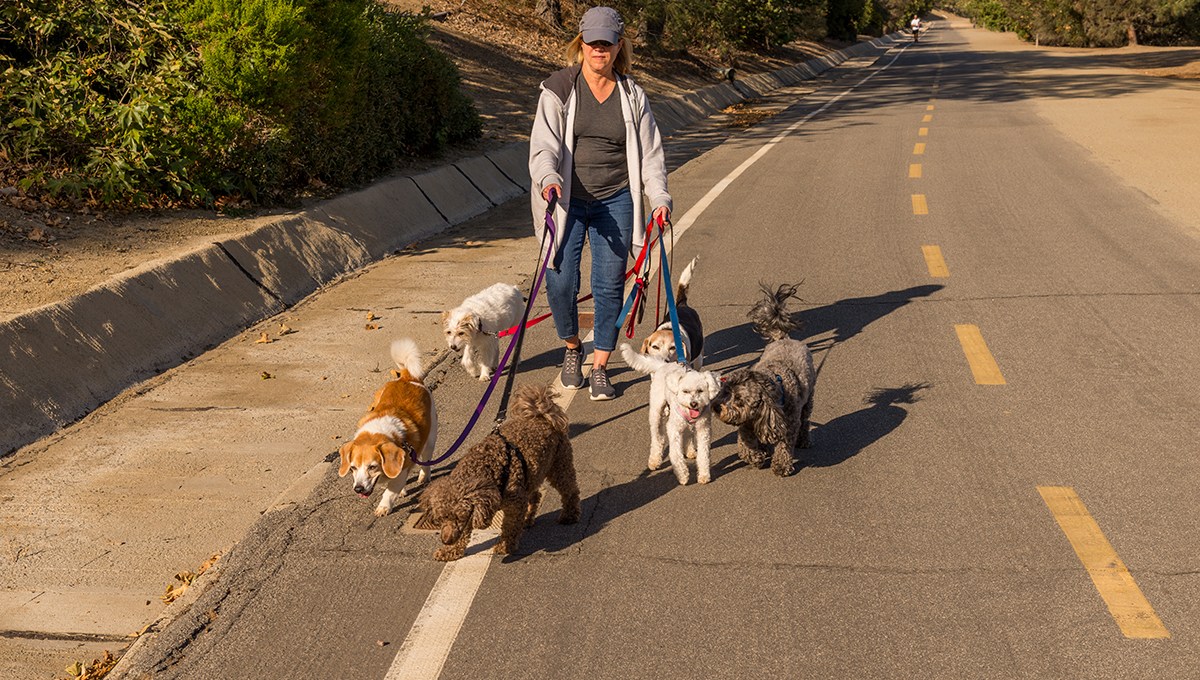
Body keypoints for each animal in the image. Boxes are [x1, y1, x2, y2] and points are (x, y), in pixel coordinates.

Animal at [340, 340, 439, 515]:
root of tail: (406, 376)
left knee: (426, 460)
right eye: (352, 468)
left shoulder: (402, 469)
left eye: (372, 467)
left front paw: (384, 506)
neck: (377, 432)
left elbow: (390, 490)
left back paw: (424, 477)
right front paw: (401, 492)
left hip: (430, 438)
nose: (358, 489)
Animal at [415, 386, 578, 561]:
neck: (488, 466)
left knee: (570, 491)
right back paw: (528, 518)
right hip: (532, 475)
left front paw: (505, 545)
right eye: (441, 518)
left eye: (459, 517)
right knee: (535, 496)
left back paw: (570, 515)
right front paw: (450, 551)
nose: (446, 540)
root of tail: (542, 416)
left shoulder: (513, 505)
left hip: (559, 465)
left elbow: (510, 527)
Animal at [619, 342, 720, 486]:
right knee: (657, 439)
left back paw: (690, 451)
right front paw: (682, 475)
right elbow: (675, 454)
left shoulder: (704, 430)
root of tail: (663, 365)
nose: (693, 404)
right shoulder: (673, 429)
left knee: (688, 433)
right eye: (685, 391)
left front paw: (704, 475)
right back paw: (654, 460)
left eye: (700, 390)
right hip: (656, 411)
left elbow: (704, 454)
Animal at [710, 284, 816, 477]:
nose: (716, 407)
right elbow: (746, 445)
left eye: (739, 400)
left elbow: (784, 446)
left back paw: (804, 440)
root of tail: (783, 338)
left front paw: (781, 466)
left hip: (808, 399)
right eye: (726, 391)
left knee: (805, 420)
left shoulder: (787, 423)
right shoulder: (746, 424)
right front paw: (756, 456)